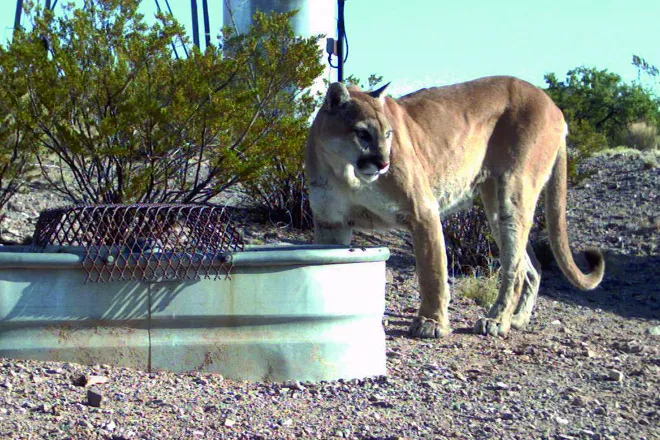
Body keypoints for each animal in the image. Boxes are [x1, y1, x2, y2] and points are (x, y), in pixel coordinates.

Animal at [304, 76, 604, 336]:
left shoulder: (422, 211)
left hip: (514, 192)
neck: (345, 171)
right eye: (362, 133)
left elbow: (432, 270)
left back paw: (497, 321)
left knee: (515, 268)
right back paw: (518, 319)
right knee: (532, 265)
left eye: (388, 134)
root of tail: (552, 103)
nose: (383, 163)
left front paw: (431, 323)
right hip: (495, 206)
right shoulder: (331, 223)